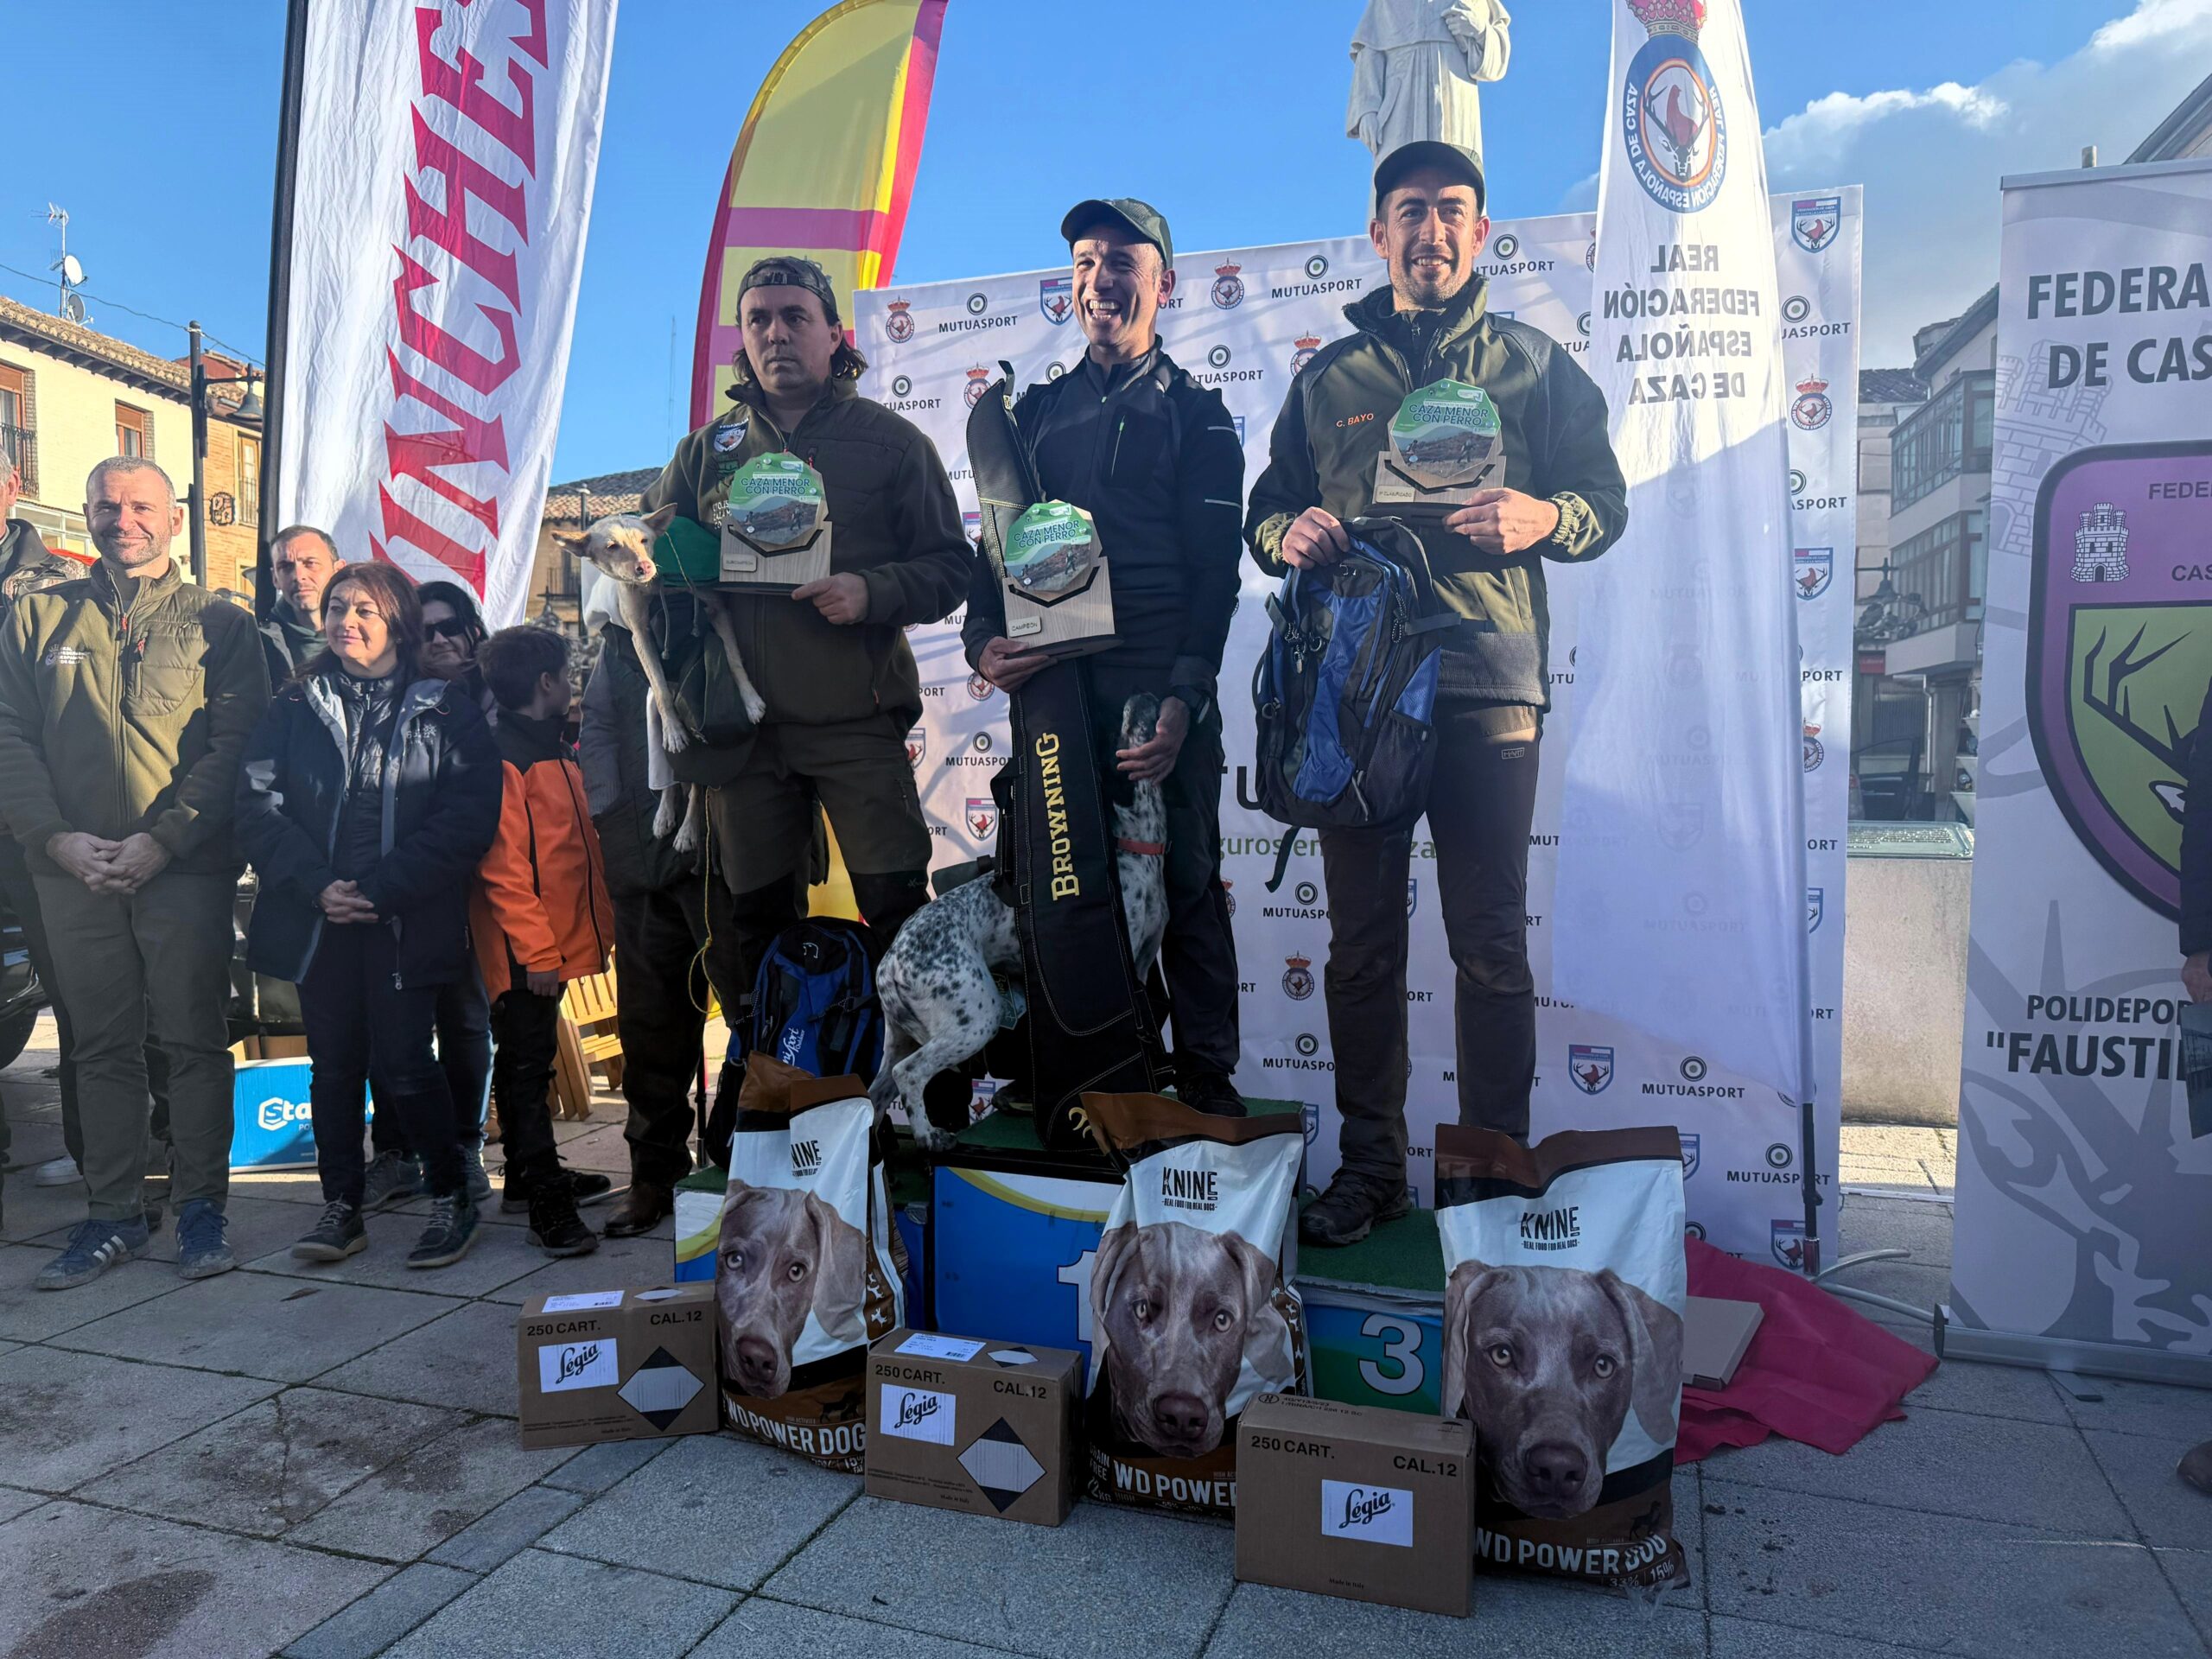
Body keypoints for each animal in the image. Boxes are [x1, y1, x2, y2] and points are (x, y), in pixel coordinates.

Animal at [553, 506, 769, 858]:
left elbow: (734, 658)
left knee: (695, 787)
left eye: (645, 540)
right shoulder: (640, 634)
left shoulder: (716, 608)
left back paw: (689, 830)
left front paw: (750, 702)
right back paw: (666, 813)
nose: (645, 567)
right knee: (670, 774)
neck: (659, 590)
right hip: (652, 717)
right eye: (612, 546)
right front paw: (673, 729)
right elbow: (659, 685)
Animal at [867, 694, 1176, 1150]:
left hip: (900, 1035)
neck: (1136, 849)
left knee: (875, 1093)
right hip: (976, 1017)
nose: (1140, 696)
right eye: (1107, 727)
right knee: (910, 1074)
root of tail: (890, 963)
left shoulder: (1141, 963)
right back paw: (928, 1135)